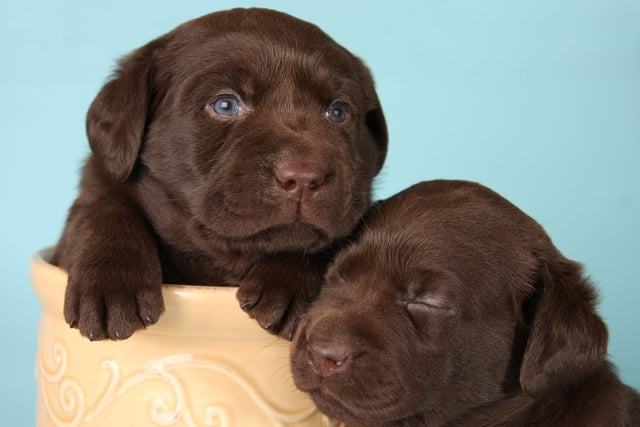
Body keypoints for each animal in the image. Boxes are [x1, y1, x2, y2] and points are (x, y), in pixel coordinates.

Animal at [50, 8, 388, 342]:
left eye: (338, 112)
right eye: (225, 105)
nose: (303, 177)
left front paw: (290, 281)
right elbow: (103, 209)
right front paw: (111, 282)